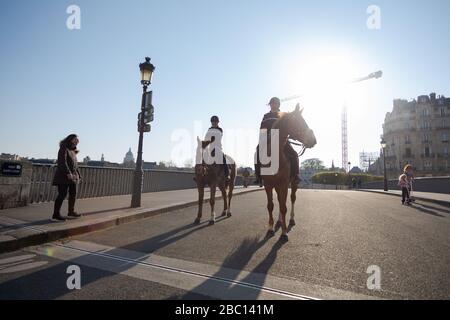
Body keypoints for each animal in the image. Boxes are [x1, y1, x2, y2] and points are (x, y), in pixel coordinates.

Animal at [260, 104, 316, 241]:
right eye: (300, 122)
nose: (314, 140)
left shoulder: (284, 184)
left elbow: (284, 206)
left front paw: (284, 233)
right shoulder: (268, 185)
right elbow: (271, 205)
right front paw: (270, 229)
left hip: (294, 183)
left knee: (292, 199)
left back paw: (290, 219)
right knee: (280, 200)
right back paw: (280, 221)